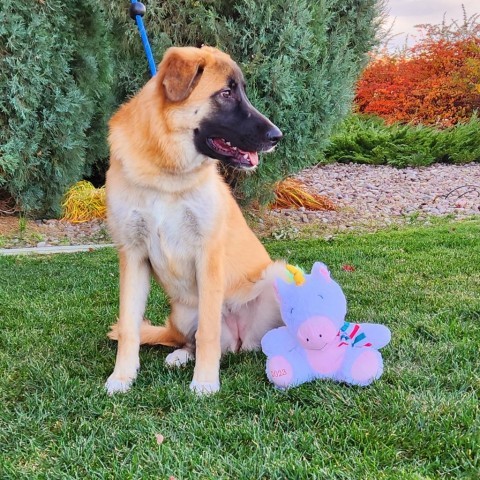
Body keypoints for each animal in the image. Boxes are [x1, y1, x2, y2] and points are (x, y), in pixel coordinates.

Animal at [105, 47, 284, 396]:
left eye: (242, 91)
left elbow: (208, 333)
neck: (165, 177)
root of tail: (240, 341)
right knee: (191, 340)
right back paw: (181, 355)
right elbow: (130, 327)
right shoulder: (133, 256)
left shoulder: (208, 256)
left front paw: (204, 381)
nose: (277, 136)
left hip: (278, 276)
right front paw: (122, 377)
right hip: (184, 311)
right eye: (226, 93)